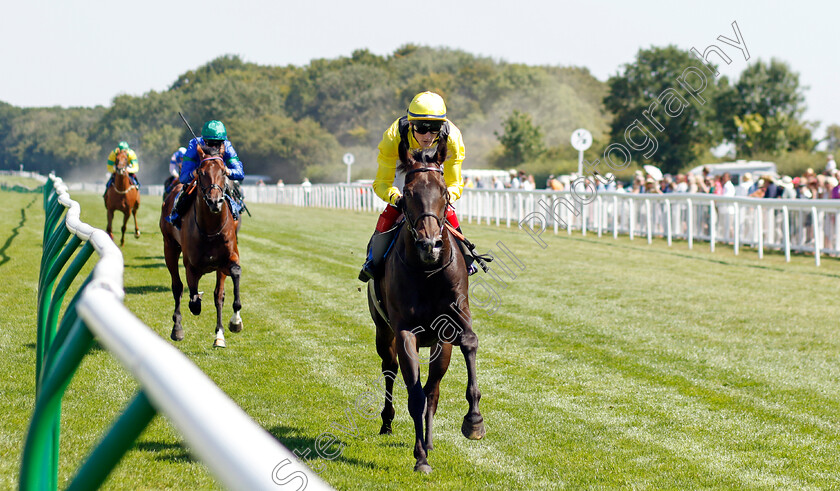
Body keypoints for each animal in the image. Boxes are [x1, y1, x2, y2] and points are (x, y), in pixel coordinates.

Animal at [160, 144, 243, 348]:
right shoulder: (192, 266)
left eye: (224, 172)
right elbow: (194, 301)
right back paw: (177, 329)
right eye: (201, 172)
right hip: (169, 247)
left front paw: (233, 323)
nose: (215, 201)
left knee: (216, 295)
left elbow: (225, 287)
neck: (211, 229)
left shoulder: (227, 260)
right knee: (177, 287)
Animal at [368, 145, 486, 472]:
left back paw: (431, 440)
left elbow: (469, 342)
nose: (430, 245)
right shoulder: (405, 332)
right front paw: (420, 457)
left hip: (439, 343)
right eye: (408, 193)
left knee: (433, 389)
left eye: (444, 191)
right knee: (390, 370)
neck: (427, 272)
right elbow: (415, 395)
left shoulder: (454, 320)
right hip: (383, 332)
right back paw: (387, 423)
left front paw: (474, 420)